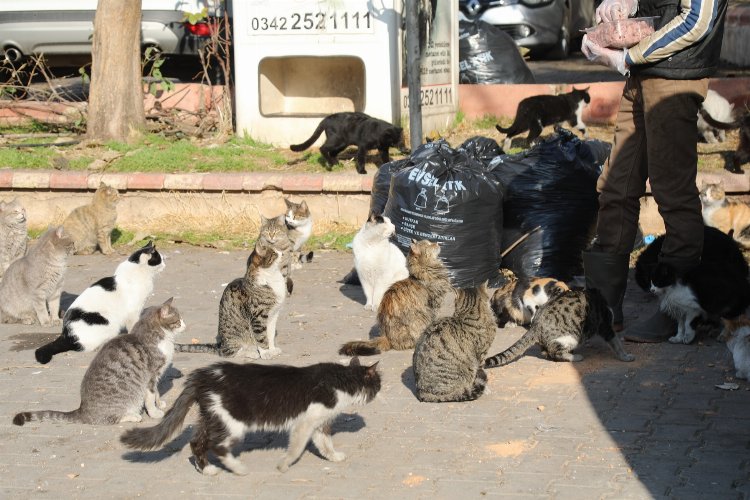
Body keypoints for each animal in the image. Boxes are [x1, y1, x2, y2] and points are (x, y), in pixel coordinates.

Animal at [13, 296, 186, 426]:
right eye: (178, 320)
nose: (185, 325)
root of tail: (83, 409)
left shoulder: (156, 376)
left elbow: (156, 393)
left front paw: (159, 402)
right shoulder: (151, 375)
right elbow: (150, 396)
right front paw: (155, 412)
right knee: (109, 418)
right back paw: (133, 416)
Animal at [34, 241, 167, 364]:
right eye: (159, 260)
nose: (165, 264)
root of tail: (66, 334)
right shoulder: (133, 312)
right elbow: (133, 325)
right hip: (107, 322)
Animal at [124, 358, 384, 474]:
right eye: (378, 384)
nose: (382, 389)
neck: (340, 380)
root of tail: (202, 376)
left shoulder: (318, 424)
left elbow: (325, 443)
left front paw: (334, 457)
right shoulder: (306, 422)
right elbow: (297, 447)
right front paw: (284, 465)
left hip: (214, 417)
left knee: (196, 442)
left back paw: (206, 469)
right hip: (233, 423)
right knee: (217, 446)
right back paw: (238, 468)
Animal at [484, 290, 636, 368]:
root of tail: (536, 325)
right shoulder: (606, 326)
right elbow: (616, 343)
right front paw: (625, 356)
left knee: (546, 351)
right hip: (573, 337)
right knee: (554, 351)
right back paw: (575, 357)